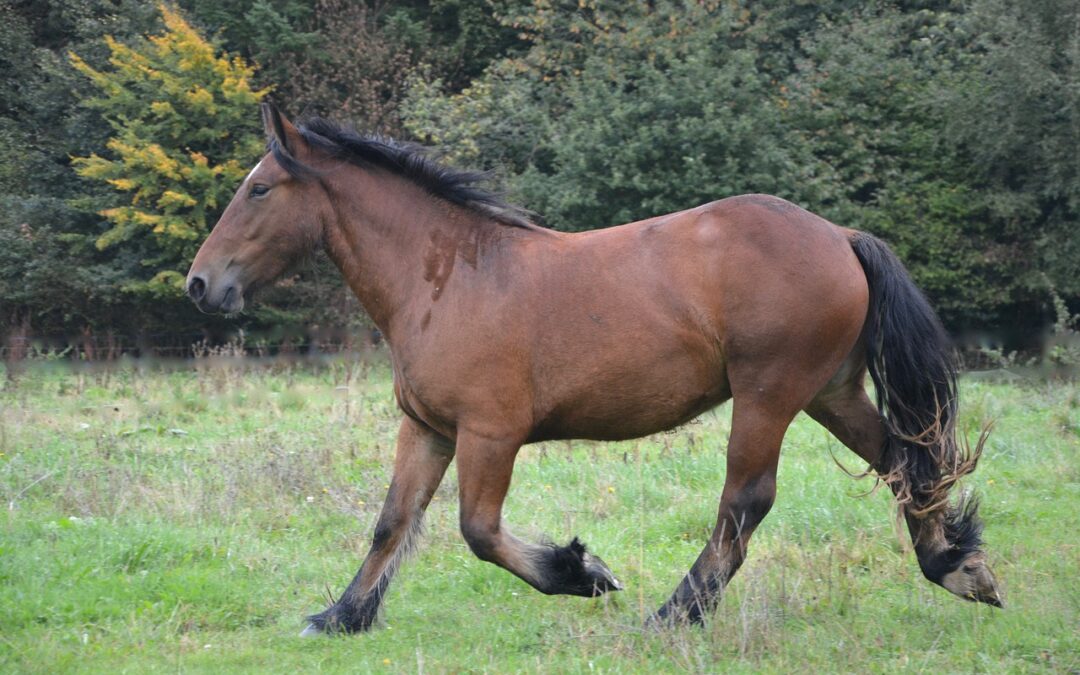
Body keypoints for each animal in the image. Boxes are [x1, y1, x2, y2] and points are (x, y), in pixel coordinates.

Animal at [187, 102, 1002, 635]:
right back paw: (956, 566)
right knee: (904, 460)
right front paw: (343, 616)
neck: (449, 276)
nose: (200, 284)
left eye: (259, 189)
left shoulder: (491, 434)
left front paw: (582, 573)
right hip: (829, 392)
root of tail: (838, 234)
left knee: (746, 501)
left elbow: (478, 530)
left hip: (768, 395)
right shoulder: (428, 429)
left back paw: (674, 614)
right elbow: (392, 522)